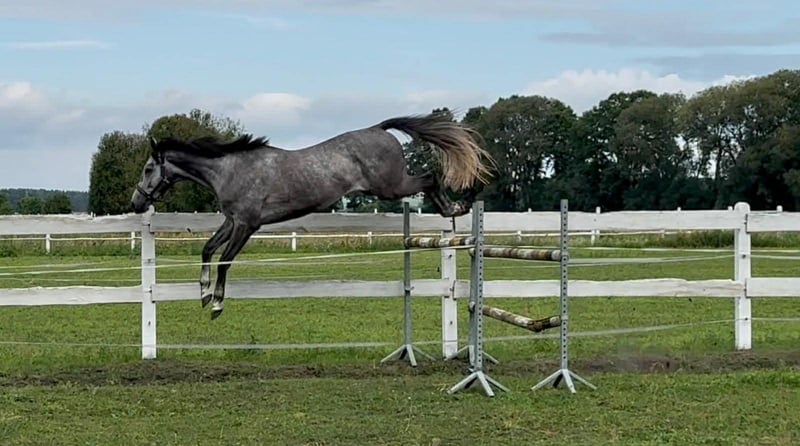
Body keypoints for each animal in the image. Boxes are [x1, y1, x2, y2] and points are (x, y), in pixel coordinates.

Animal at [131, 112, 495, 319]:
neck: (231, 169)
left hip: (391, 186)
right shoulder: (232, 221)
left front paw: (217, 304)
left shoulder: (247, 224)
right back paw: (455, 209)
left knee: (431, 177)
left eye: (148, 169)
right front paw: (204, 293)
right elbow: (208, 249)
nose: (136, 203)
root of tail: (378, 128)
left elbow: (224, 261)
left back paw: (455, 208)